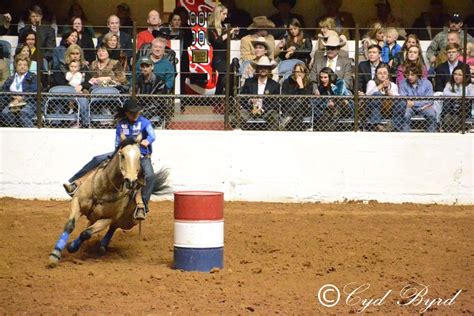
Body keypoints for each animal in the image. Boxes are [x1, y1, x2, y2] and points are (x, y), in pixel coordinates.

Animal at [49, 134, 168, 266]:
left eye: (139, 157)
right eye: (122, 155)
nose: (131, 182)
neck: (104, 188)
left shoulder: (108, 218)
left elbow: (86, 233)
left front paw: (72, 247)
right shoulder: (77, 203)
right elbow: (70, 226)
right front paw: (55, 254)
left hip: (127, 222)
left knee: (113, 227)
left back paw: (102, 246)